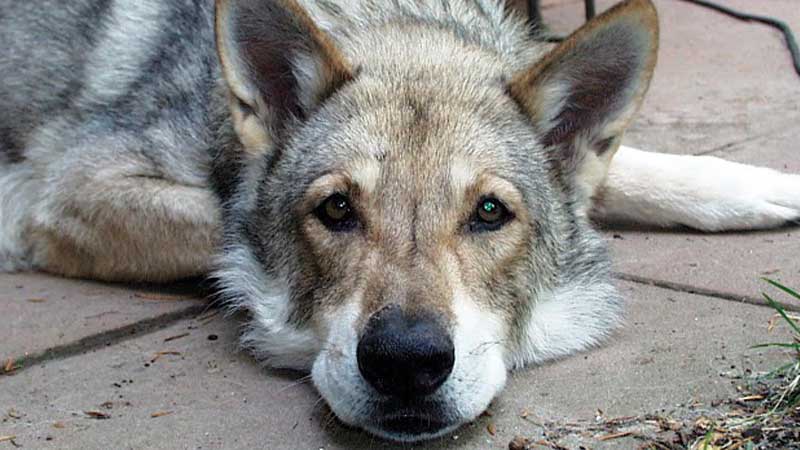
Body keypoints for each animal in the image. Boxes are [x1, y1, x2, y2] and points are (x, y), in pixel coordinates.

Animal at [0, 0, 796, 442]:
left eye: (489, 212)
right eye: (336, 209)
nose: (405, 361)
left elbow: (630, 169)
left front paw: (764, 187)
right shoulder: (65, 192)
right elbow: (228, 223)